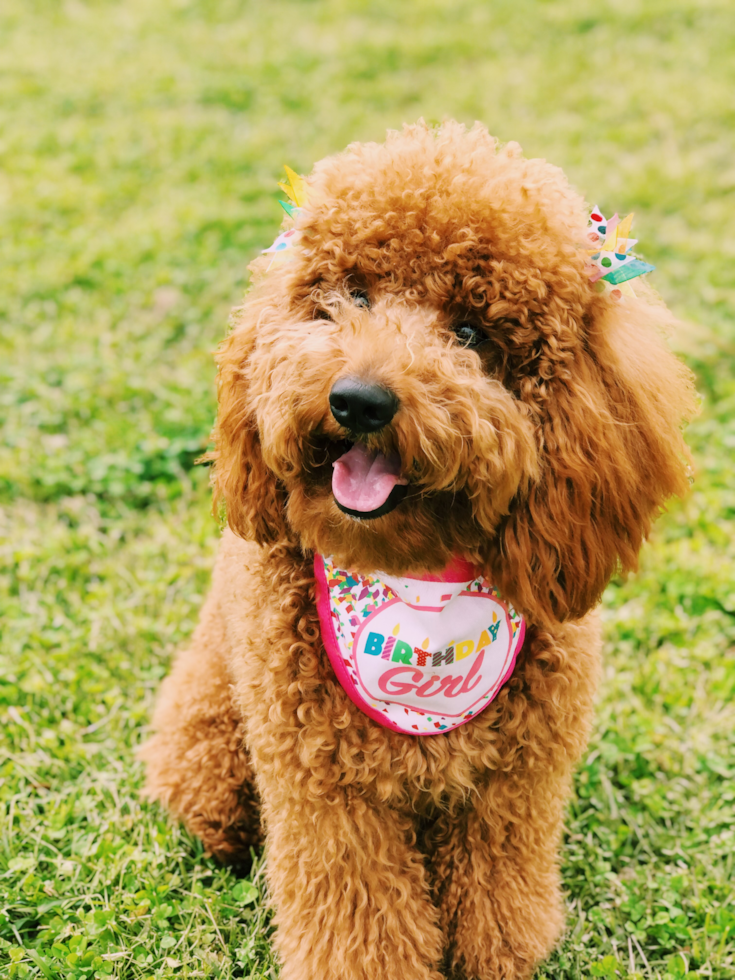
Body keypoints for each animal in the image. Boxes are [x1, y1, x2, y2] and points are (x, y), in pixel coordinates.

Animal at [142, 120, 696, 980]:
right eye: (352, 297)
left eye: (468, 332)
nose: (357, 400)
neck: (416, 580)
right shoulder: (327, 786)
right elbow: (359, 916)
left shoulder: (513, 780)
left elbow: (498, 891)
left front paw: (499, 951)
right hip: (211, 749)